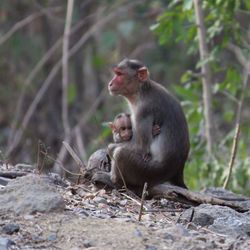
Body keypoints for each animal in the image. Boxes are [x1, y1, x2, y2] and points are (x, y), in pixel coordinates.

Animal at [92, 59, 189, 191]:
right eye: (116, 73)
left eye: (120, 74)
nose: (110, 83)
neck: (141, 91)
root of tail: (177, 172)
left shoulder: (143, 110)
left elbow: (140, 148)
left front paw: (110, 148)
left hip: (147, 173)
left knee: (121, 153)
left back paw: (115, 181)